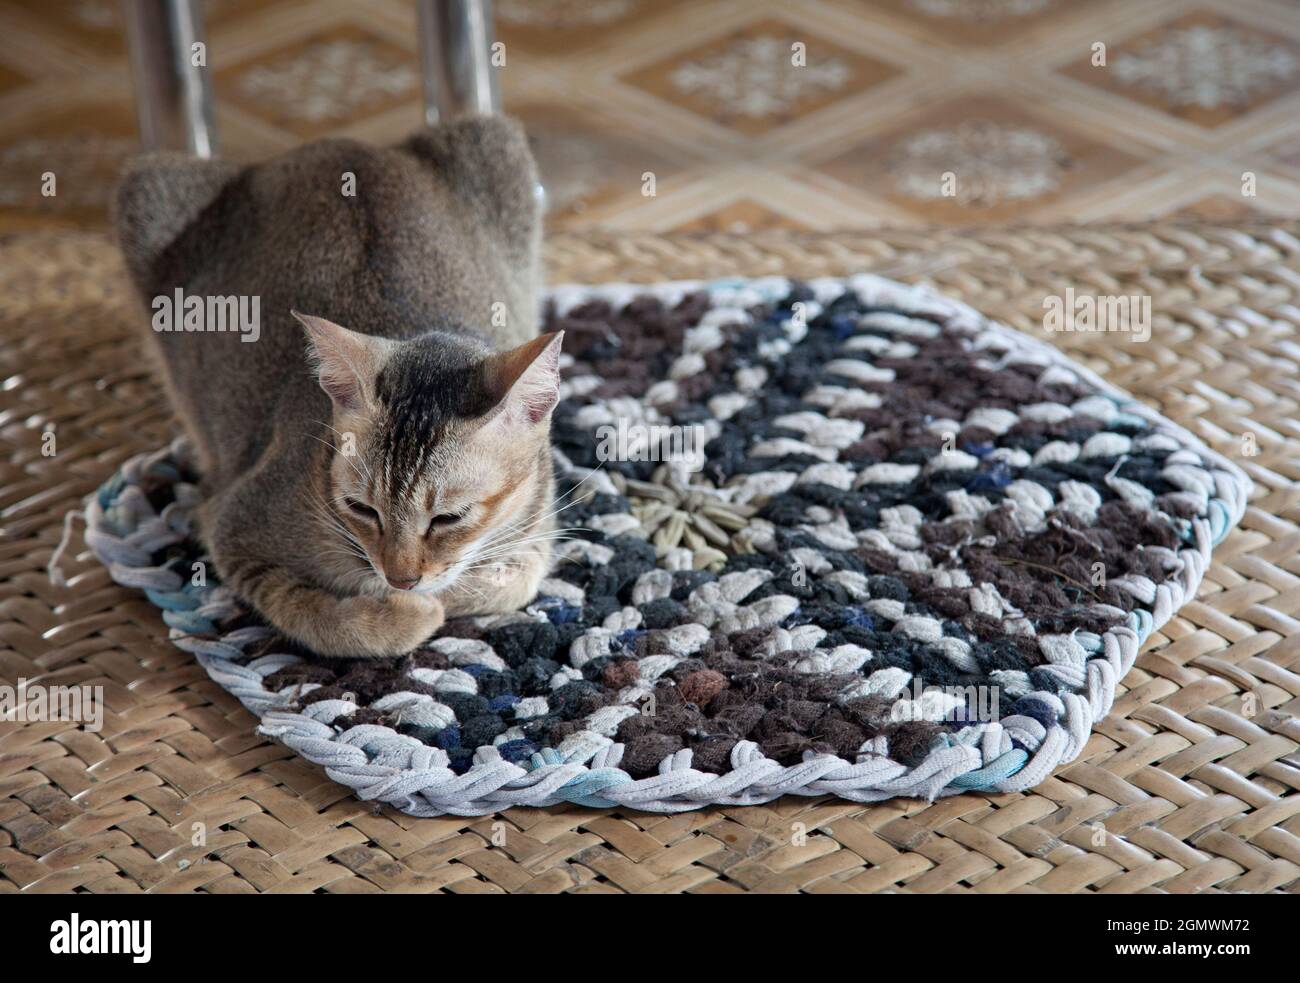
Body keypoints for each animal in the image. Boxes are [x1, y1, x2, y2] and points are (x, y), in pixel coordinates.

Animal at [120, 117, 564, 660]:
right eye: (361, 509)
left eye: (449, 517)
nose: (400, 580)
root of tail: (334, 143)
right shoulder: (233, 527)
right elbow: (315, 615)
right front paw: (405, 614)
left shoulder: (539, 527)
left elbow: (512, 578)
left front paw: (447, 594)